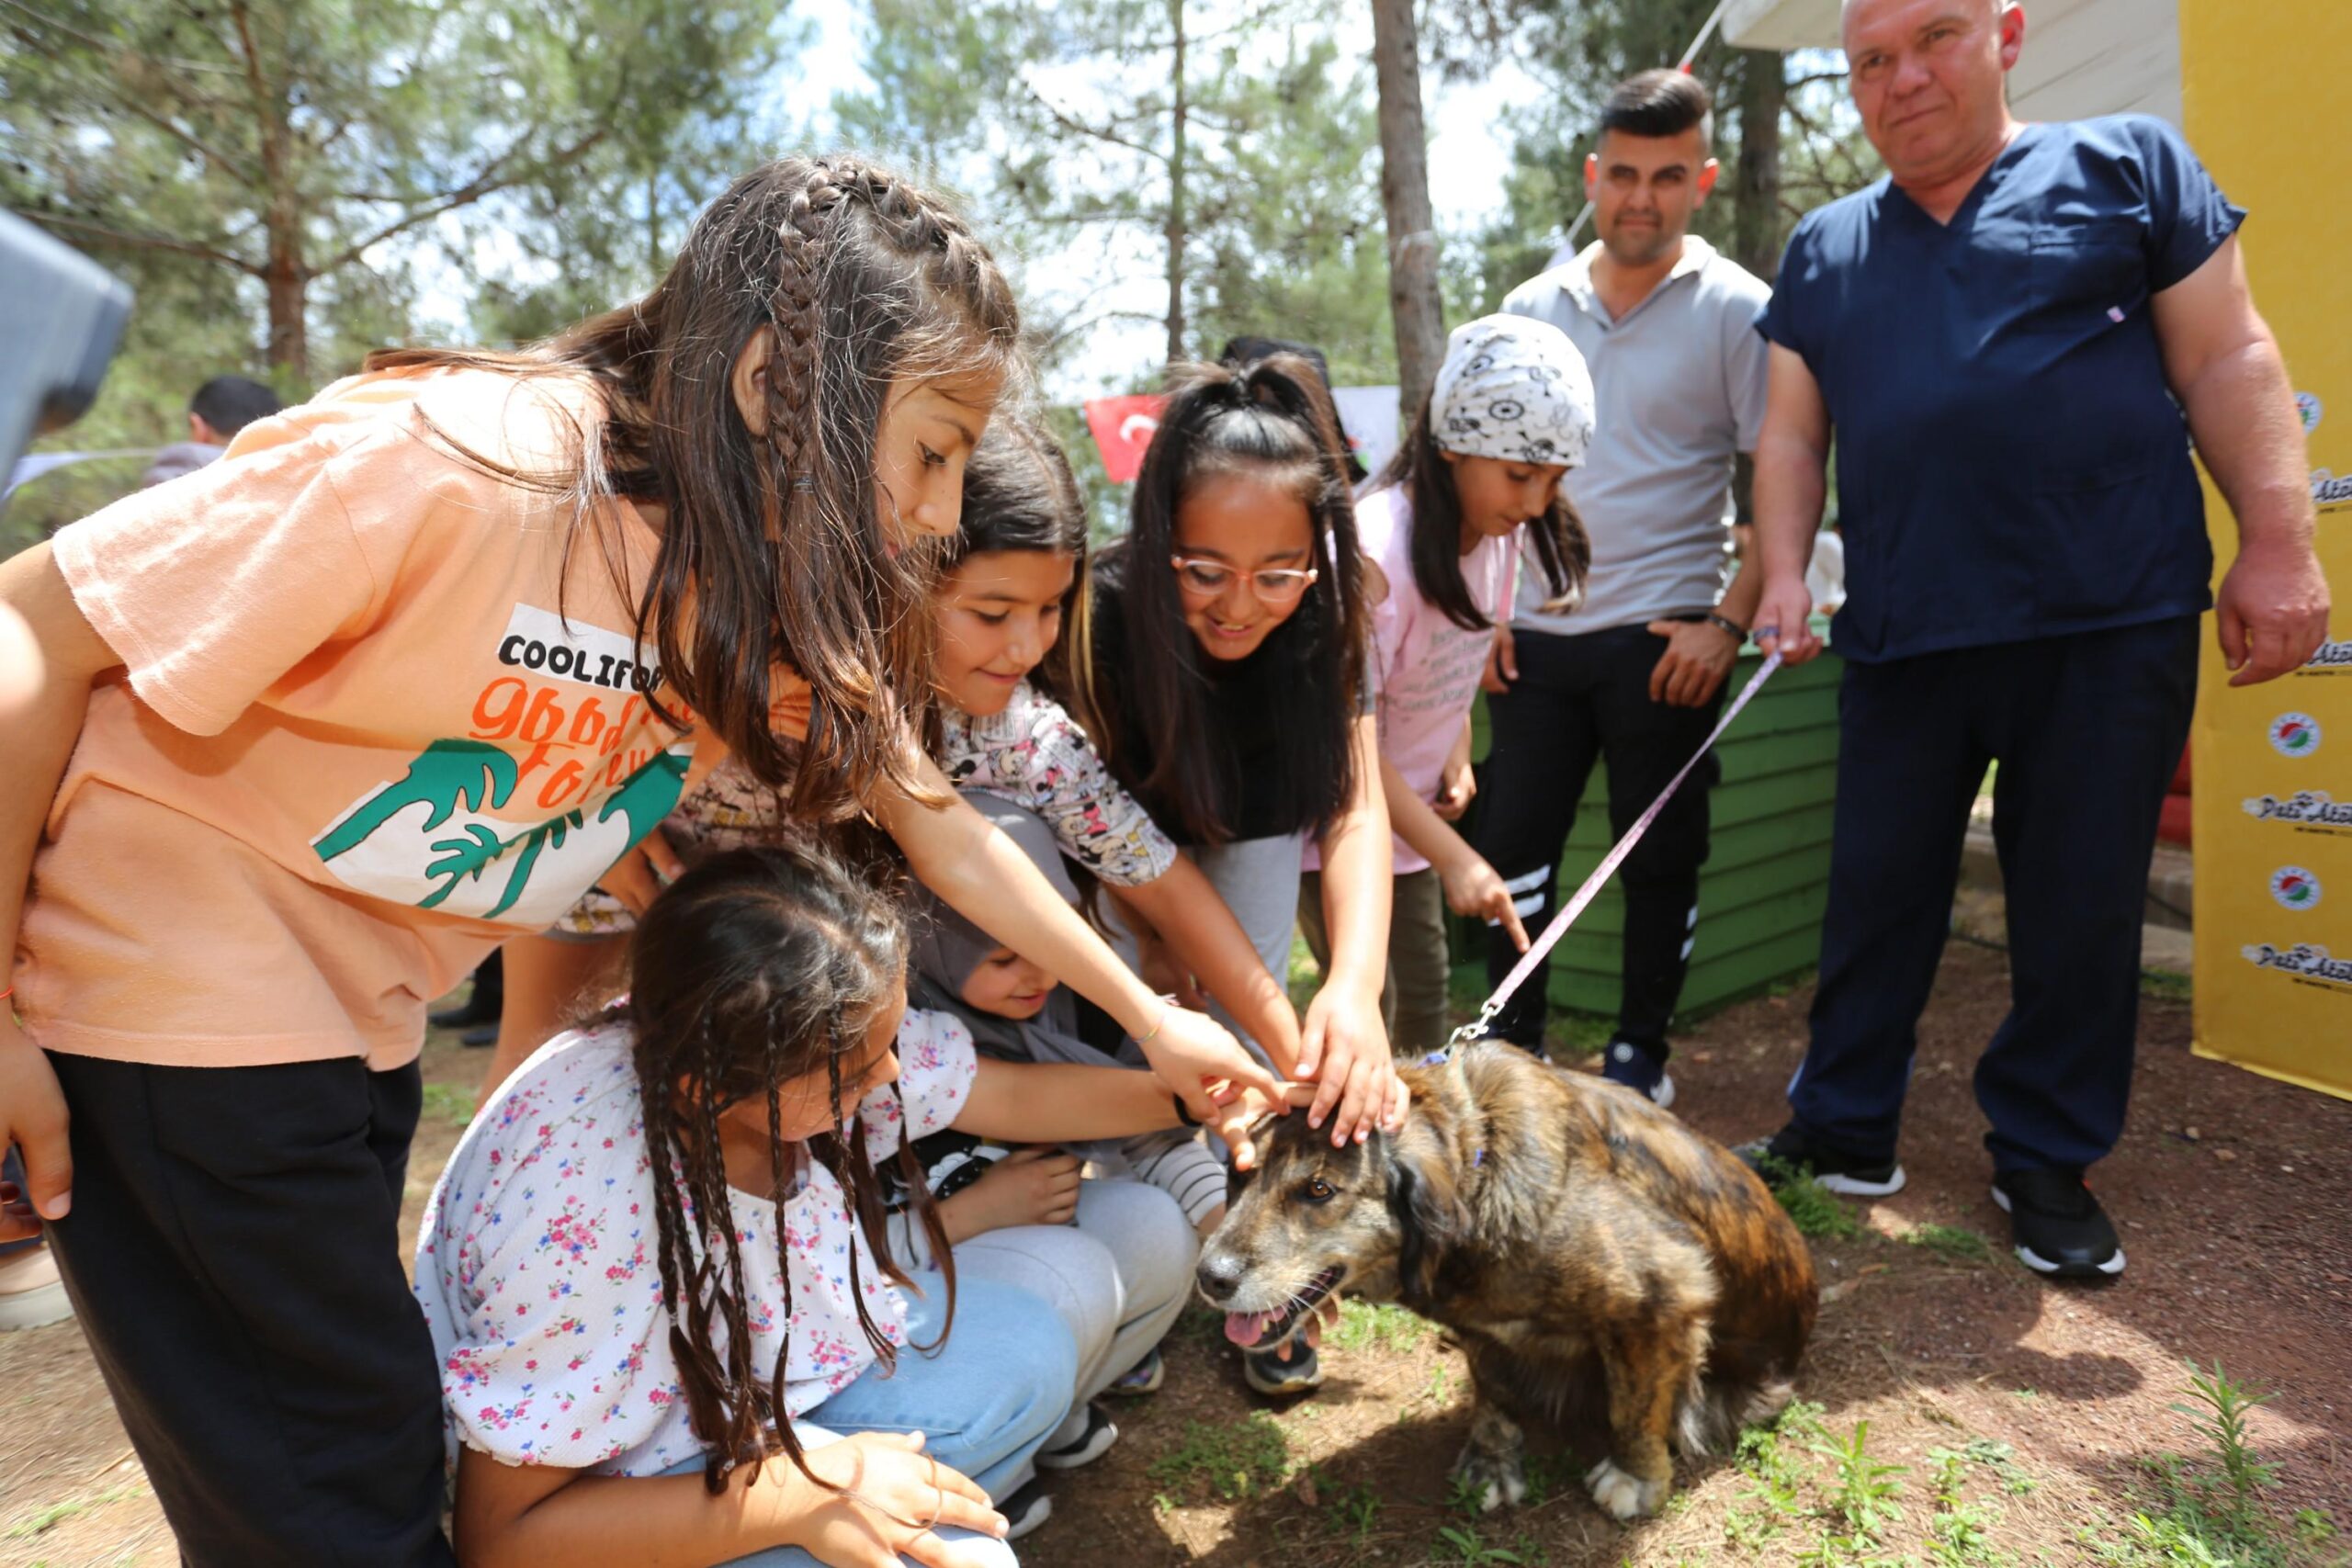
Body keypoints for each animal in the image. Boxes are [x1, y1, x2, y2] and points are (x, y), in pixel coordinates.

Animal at [1194, 1043, 1815, 1523]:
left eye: (1319, 1190)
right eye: (1239, 1175)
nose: (1209, 1277)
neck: (1479, 1161)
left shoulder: (1665, 1293)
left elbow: (1634, 1407)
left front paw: (1637, 1478)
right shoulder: (1482, 1328)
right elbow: (1492, 1390)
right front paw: (1493, 1462)